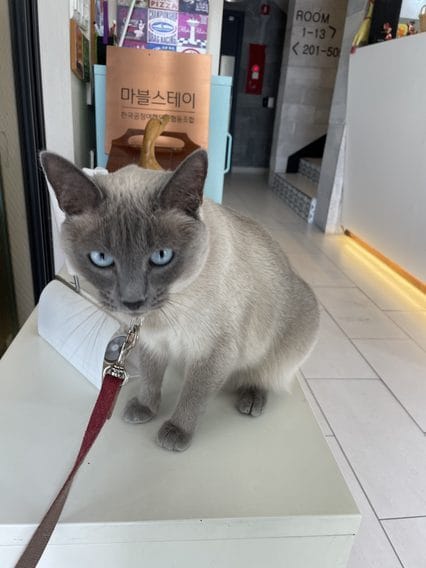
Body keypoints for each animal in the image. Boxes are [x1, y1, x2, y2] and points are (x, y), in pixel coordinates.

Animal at [40, 150, 319, 451]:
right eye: (101, 258)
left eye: (161, 256)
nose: (133, 302)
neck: (160, 315)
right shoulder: (152, 343)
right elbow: (151, 378)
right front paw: (145, 408)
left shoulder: (212, 352)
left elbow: (193, 395)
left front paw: (176, 431)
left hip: (290, 337)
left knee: (264, 374)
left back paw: (251, 398)